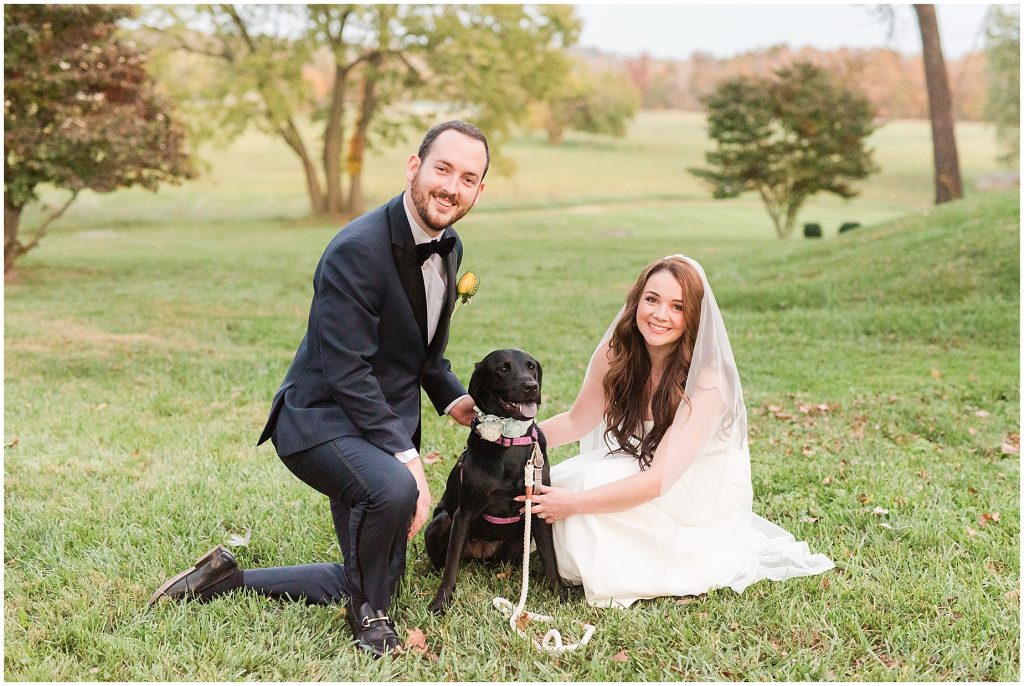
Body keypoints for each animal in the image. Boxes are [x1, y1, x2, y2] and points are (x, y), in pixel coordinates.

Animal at [425, 352, 565, 614]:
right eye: (503, 369)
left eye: (532, 367)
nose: (531, 386)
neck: (509, 440)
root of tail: (482, 556)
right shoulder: (463, 514)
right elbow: (451, 566)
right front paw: (441, 602)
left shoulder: (538, 508)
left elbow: (550, 557)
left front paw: (559, 595)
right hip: (441, 522)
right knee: (442, 559)